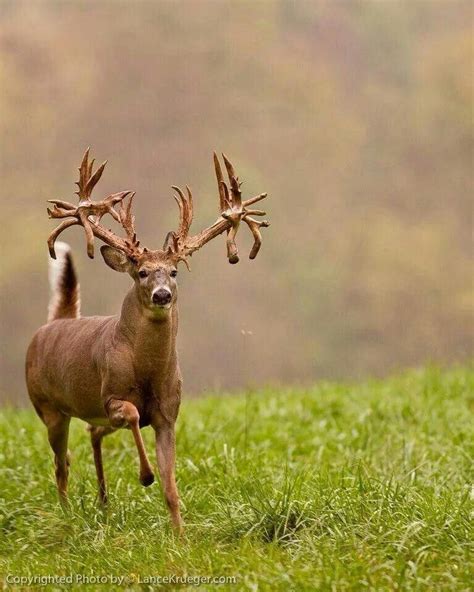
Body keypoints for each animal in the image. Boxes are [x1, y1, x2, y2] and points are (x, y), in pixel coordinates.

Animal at [25, 150, 268, 528]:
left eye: (174, 271)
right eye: (141, 272)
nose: (162, 295)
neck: (147, 371)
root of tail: (56, 322)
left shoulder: (169, 413)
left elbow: (171, 487)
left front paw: (180, 534)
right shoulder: (110, 395)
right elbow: (133, 414)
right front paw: (145, 474)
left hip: (83, 415)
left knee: (91, 434)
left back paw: (104, 502)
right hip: (48, 407)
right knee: (61, 463)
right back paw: (67, 515)